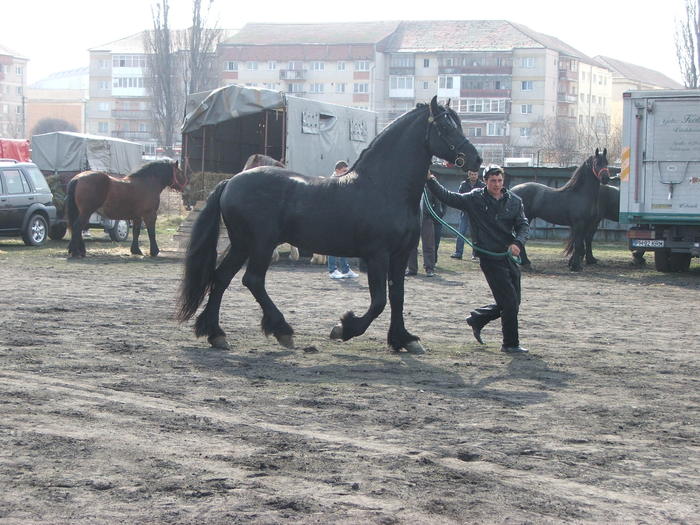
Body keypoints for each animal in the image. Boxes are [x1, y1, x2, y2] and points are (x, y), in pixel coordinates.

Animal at [176, 97, 482, 352]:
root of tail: (231, 182)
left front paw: (404, 339)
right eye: (446, 126)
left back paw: (216, 334)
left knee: (221, 278)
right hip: (261, 244)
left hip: (242, 244)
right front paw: (345, 328)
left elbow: (397, 296)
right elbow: (379, 301)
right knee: (252, 280)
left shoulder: (400, 254)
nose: (476, 159)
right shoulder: (377, 255)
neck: (383, 187)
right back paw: (282, 330)